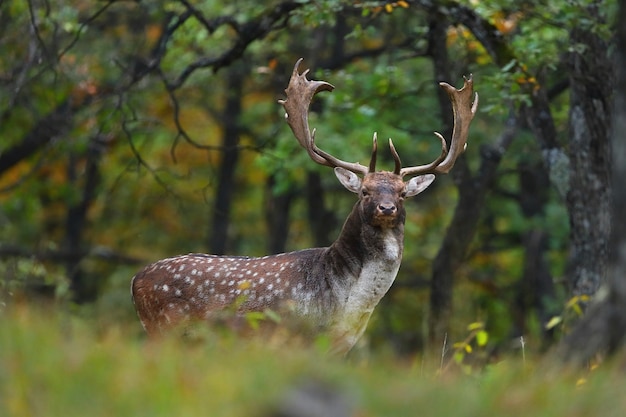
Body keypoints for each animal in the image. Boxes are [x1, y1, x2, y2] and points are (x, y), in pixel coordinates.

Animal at [129, 57, 476, 352]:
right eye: (364, 191)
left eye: (403, 192)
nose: (386, 209)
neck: (347, 305)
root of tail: (135, 280)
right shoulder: (295, 336)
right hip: (164, 327)